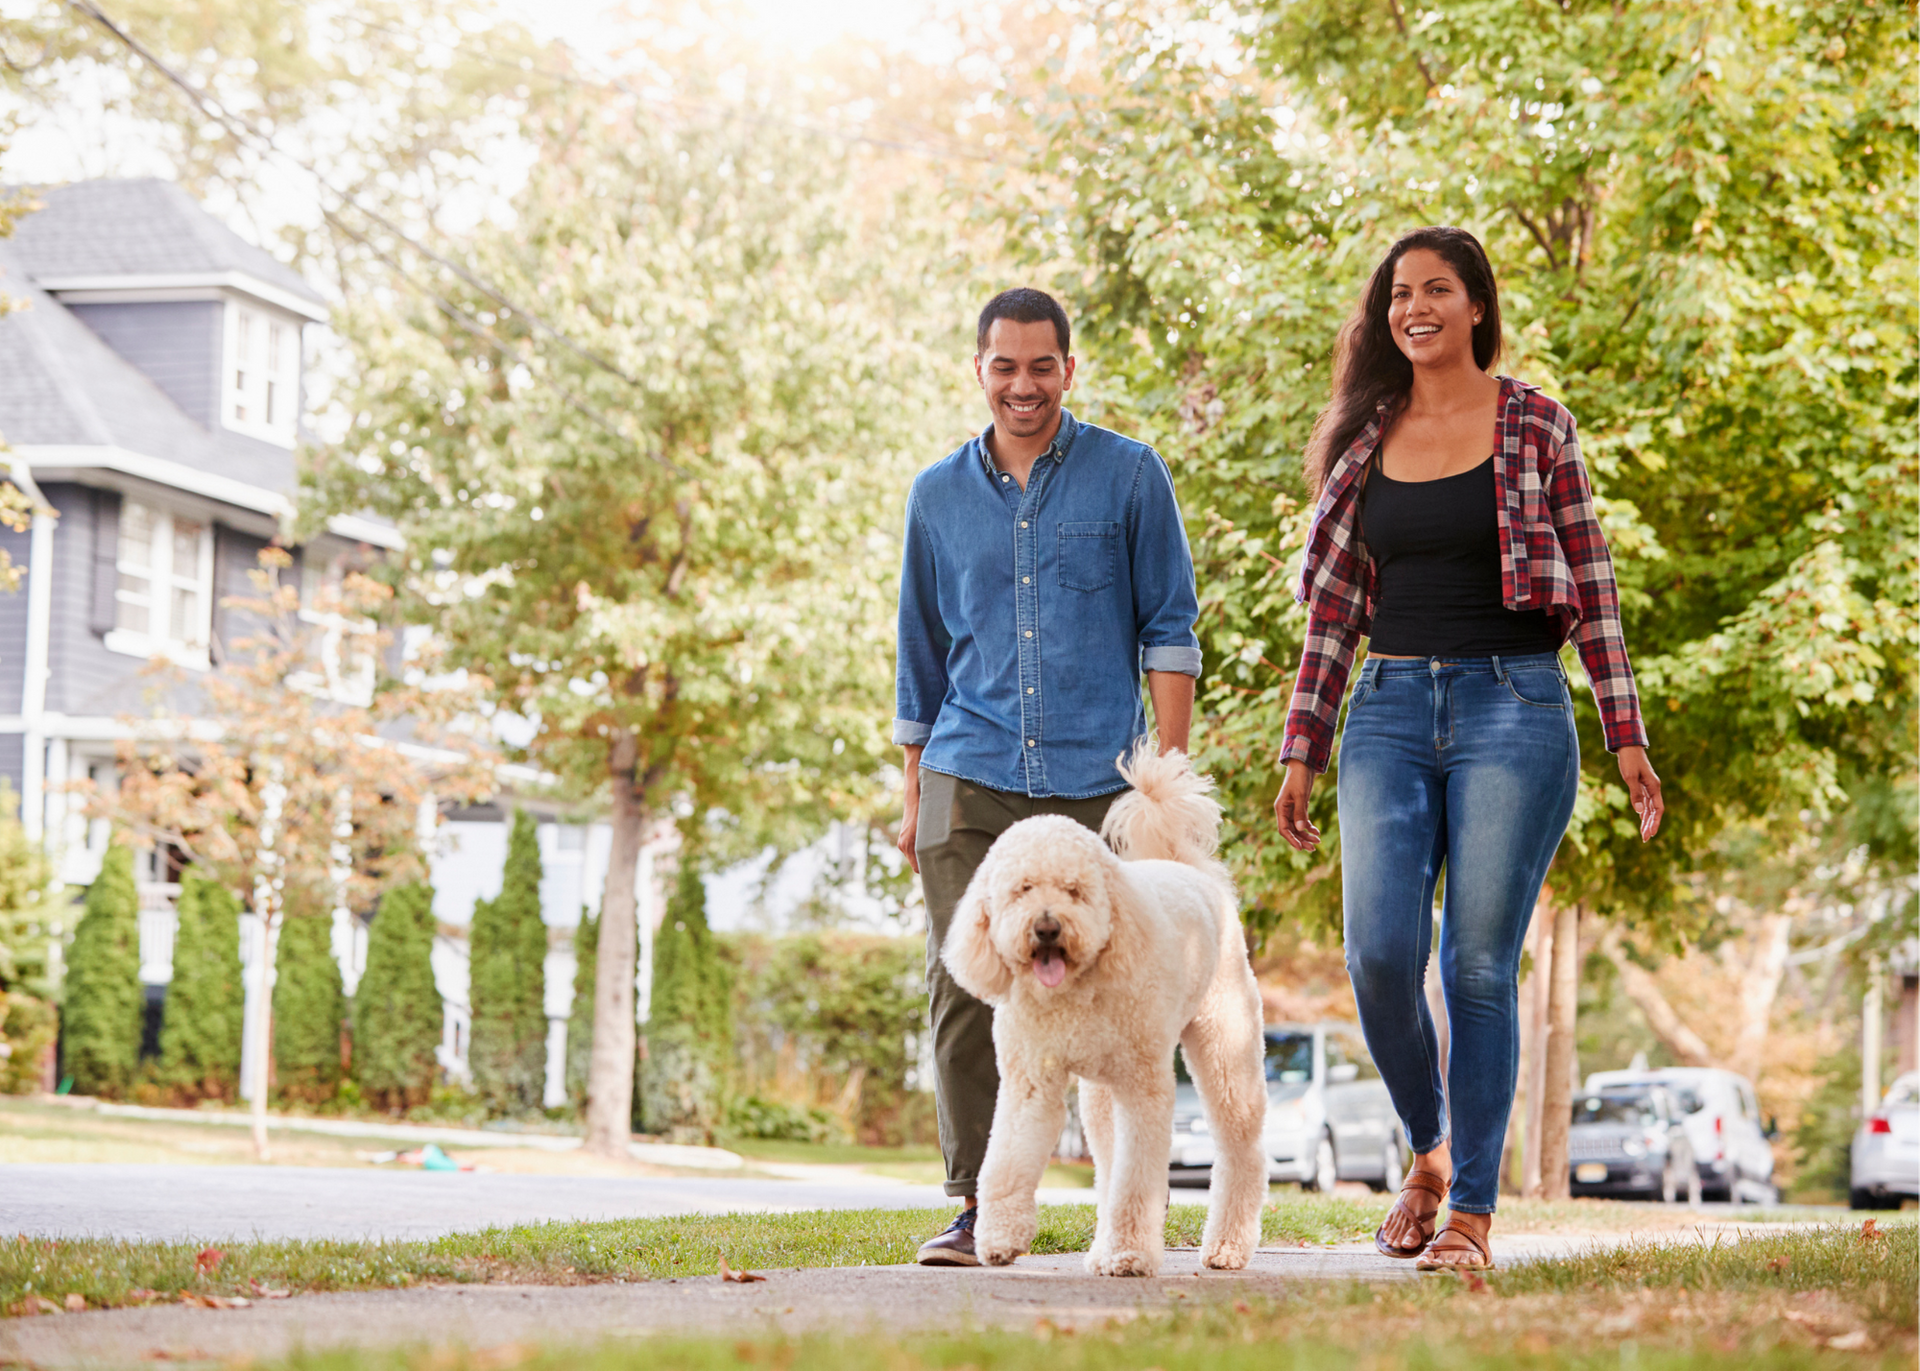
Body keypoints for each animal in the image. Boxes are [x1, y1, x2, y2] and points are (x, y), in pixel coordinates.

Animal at [944, 737, 1274, 1267]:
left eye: (1075, 890)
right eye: (1022, 889)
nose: (1047, 927)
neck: (1074, 993)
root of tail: (1190, 870)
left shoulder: (1143, 1088)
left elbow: (1138, 1176)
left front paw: (1127, 1254)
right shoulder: (1030, 1082)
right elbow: (1009, 1159)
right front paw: (997, 1238)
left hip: (1226, 1046)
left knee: (1241, 1147)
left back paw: (1226, 1246)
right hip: (1099, 1094)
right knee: (1106, 1158)